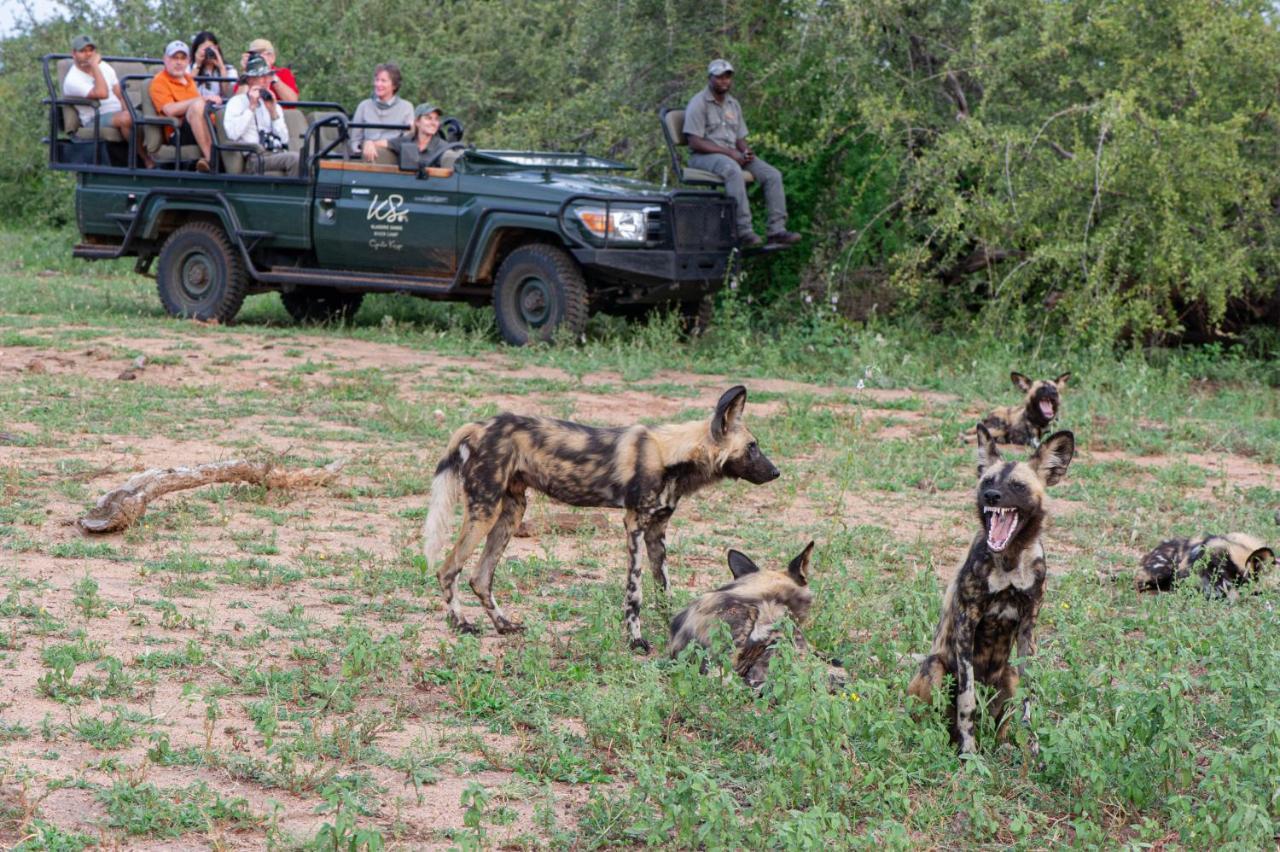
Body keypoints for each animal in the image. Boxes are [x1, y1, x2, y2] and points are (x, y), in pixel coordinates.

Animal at [422, 383, 778, 649]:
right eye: (753, 446)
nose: (776, 472)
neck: (673, 455)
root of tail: (477, 425)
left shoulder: (657, 531)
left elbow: (664, 589)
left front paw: (676, 627)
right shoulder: (634, 525)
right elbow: (635, 593)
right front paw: (636, 641)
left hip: (513, 511)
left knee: (480, 577)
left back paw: (504, 625)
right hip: (484, 511)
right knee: (448, 569)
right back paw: (461, 625)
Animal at [906, 422, 1075, 752]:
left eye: (1018, 485)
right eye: (987, 480)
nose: (991, 495)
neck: (1009, 560)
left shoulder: (1027, 629)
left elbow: (1027, 698)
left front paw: (1029, 743)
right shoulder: (966, 624)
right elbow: (967, 701)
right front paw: (969, 752)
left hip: (1007, 674)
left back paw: (1005, 744)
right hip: (935, 667)